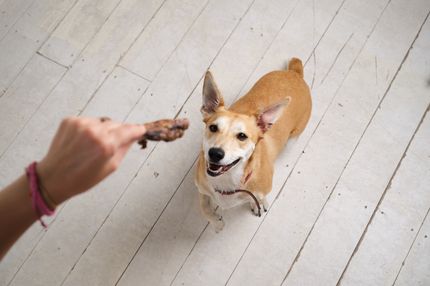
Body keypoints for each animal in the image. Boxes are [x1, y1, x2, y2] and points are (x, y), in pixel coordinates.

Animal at [196, 58, 312, 232]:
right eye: (213, 127)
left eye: (242, 136)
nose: (215, 153)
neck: (228, 179)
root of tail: (294, 73)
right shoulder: (201, 187)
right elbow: (203, 207)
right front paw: (216, 222)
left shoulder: (261, 189)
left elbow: (259, 197)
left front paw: (259, 203)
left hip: (294, 137)